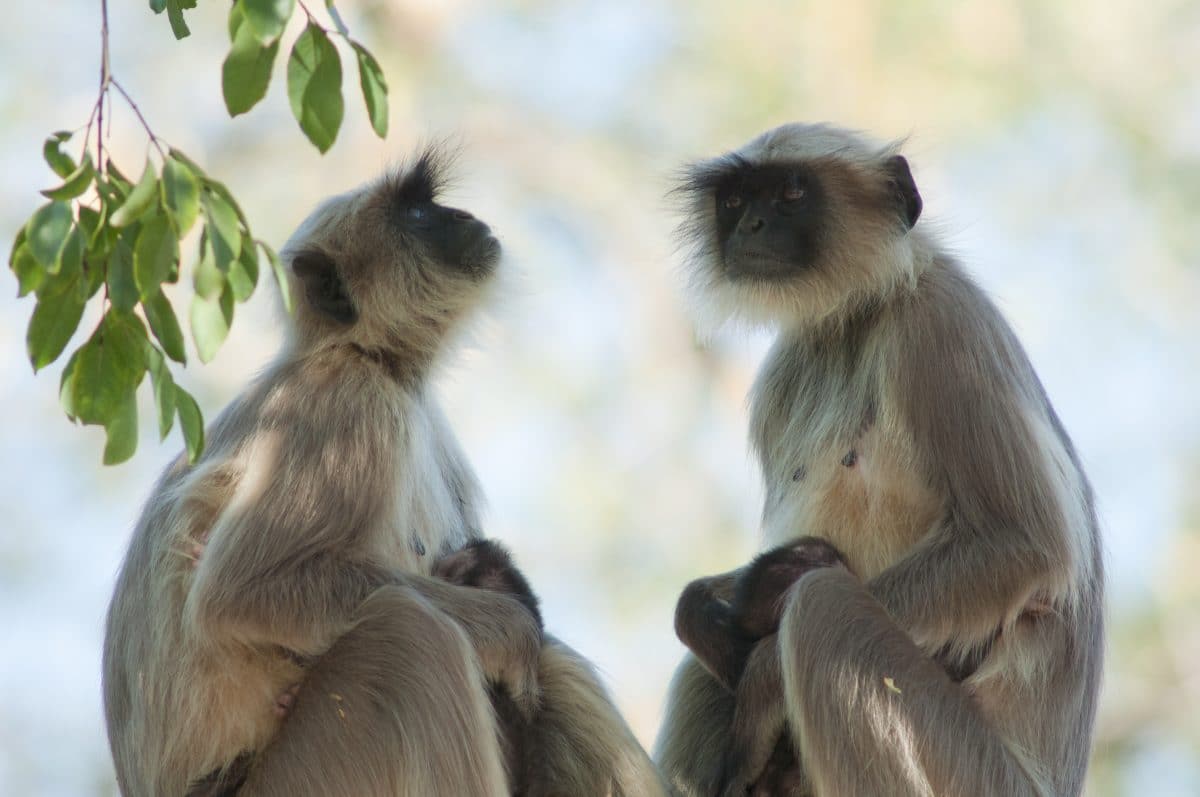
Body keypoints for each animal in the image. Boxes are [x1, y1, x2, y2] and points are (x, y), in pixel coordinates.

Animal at [103, 147, 667, 797]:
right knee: (409, 632)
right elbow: (243, 594)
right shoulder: (345, 404)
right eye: (419, 214)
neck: (372, 359)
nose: (462, 217)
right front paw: (512, 624)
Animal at [657, 124, 1104, 797]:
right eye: (734, 200)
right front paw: (703, 609)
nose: (752, 225)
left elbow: (1021, 543)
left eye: (791, 193)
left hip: (969, 769)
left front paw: (762, 672)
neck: (859, 314)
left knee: (822, 606)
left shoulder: (941, 326)